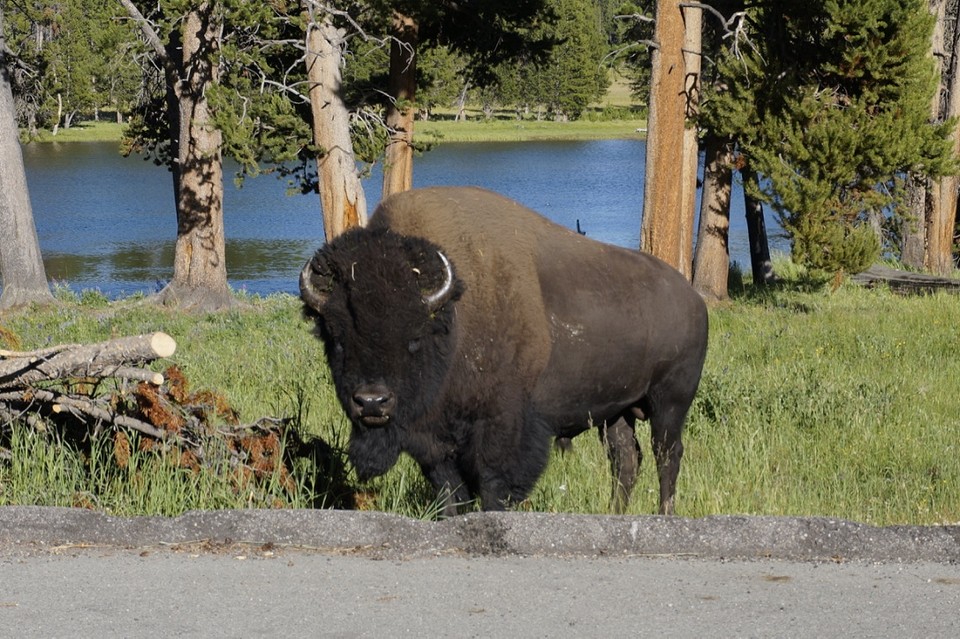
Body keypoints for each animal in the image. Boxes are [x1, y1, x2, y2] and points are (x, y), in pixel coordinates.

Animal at [300, 186, 708, 517]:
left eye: (413, 337)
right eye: (337, 338)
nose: (372, 402)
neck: (452, 316)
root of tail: (693, 299)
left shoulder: (501, 429)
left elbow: (495, 486)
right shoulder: (434, 443)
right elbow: (450, 493)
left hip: (669, 402)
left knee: (667, 456)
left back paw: (665, 515)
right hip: (616, 412)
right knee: (625, 460)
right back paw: (614, 515)